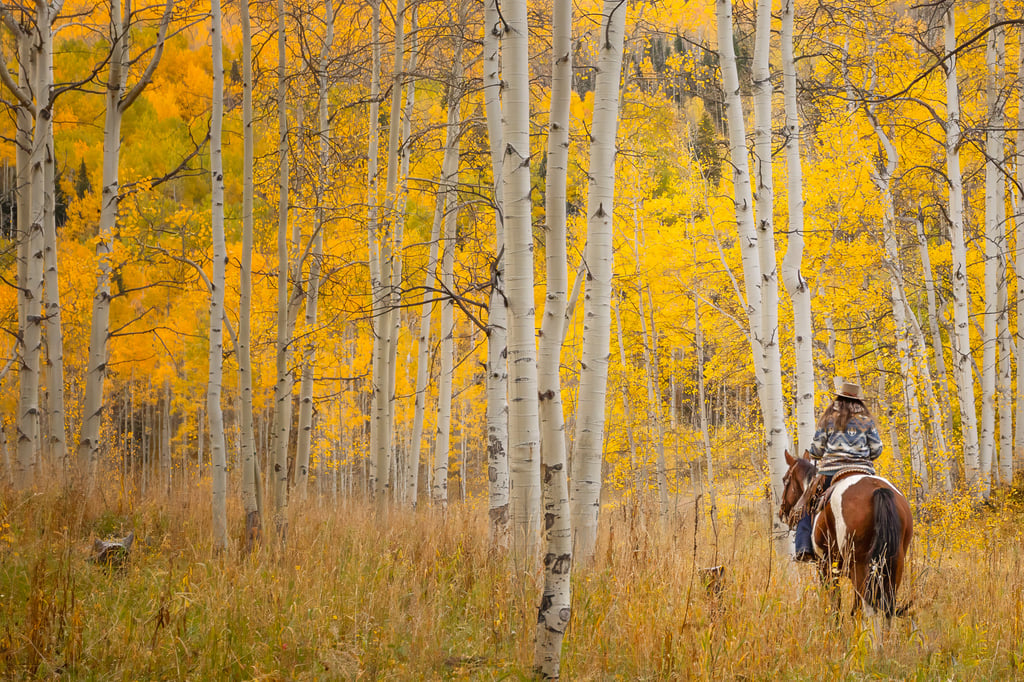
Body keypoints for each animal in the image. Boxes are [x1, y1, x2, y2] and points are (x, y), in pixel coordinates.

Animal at [779, 450, 913, 622]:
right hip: (894, 564)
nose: (783, 512)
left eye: (785, 480)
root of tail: (878, 489)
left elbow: (835, 606)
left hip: (859, 566)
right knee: (885, 607)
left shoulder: (825, 568)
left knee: (867, 607)